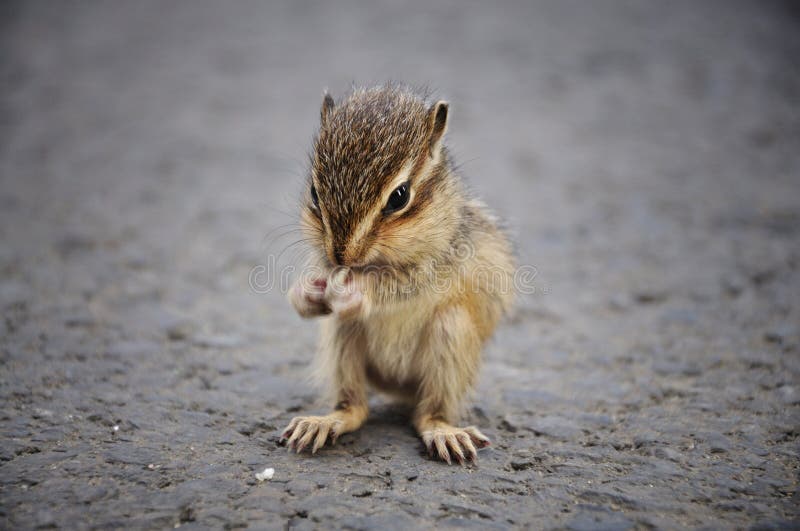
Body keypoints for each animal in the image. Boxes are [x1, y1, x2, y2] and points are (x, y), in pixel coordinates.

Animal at [281, 85, 515, 464]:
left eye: (399, 197)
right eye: (314, 192)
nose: (340, 255)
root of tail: (396, 385)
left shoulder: (442, 258)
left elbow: (403, 283)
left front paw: (355, 292)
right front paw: (306, 292)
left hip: (451, 332)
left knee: (427, 413)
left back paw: (443, 431)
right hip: (343, 337)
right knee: (356, 407)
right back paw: (325, 422)